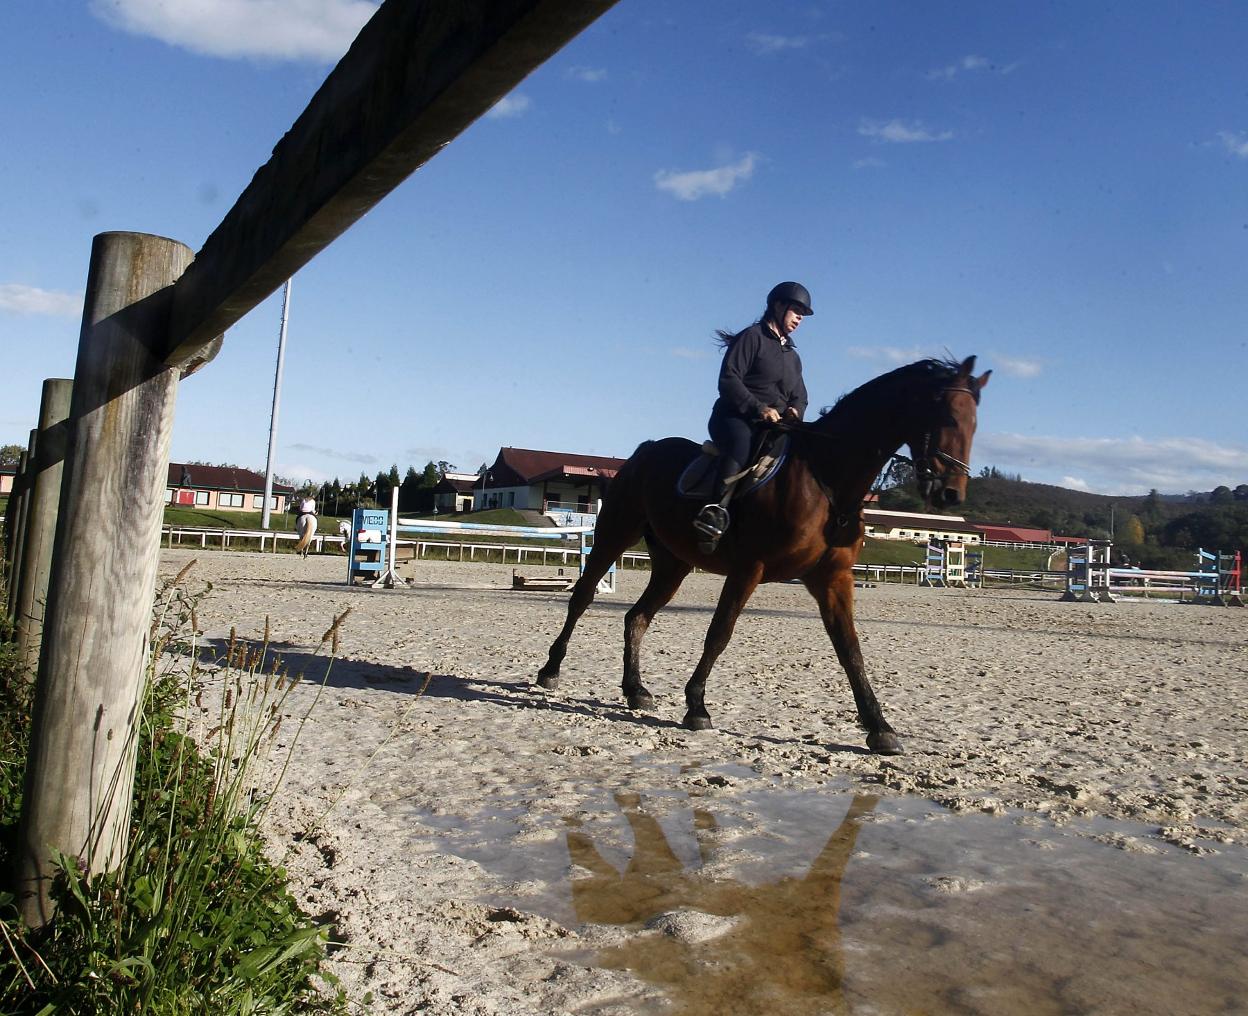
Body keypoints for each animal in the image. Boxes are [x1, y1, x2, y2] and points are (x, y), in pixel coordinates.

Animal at [536, 354, 993, 753]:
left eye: (976, 425)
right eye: (948, 417)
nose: (951, 494)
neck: (827, 480)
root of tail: (645, 450)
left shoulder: (833, 579)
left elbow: (850, 649)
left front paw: (879, 728)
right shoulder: (748, 569)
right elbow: (719, 633)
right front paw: (697, 707)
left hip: (673, 563)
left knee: (637, 617)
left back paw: (635, 690)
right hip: (615, 535)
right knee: (583, 597)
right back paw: (550, 671)